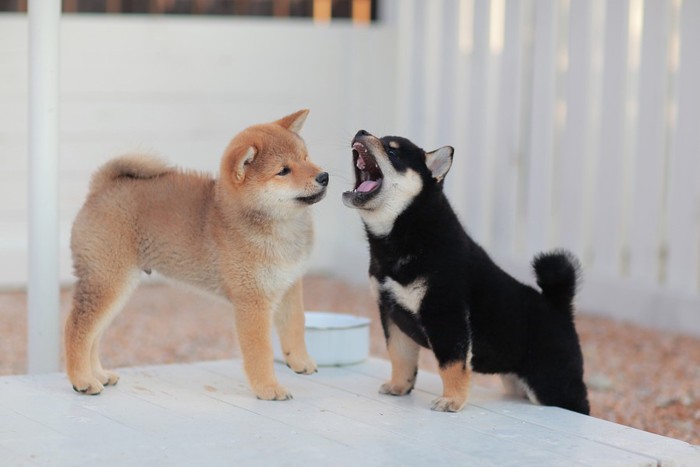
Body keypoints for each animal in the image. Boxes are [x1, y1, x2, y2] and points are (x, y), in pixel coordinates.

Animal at [65, 109, 328, 402]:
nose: (324, 176)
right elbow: (260, 351)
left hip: (117, 286)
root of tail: (101, 188)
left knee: (93, 335)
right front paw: (268, 387)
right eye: (283, 170)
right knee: (77, 328)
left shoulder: (289, 285)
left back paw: (98, 374)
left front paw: (300, 361)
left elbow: (295, 325)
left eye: (305, 157)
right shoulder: (253, 301)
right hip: (107, 280)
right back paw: (82, 380)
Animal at [342, 130, 588, 414]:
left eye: (392, 151)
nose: (361, 132)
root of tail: (559, 307)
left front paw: (453, 399)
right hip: (517, 383)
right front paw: (399, 386)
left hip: (556, 386)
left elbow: (451, 365)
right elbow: (400, 357)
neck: (406, 237)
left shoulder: (445, 314)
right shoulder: (392, 314)